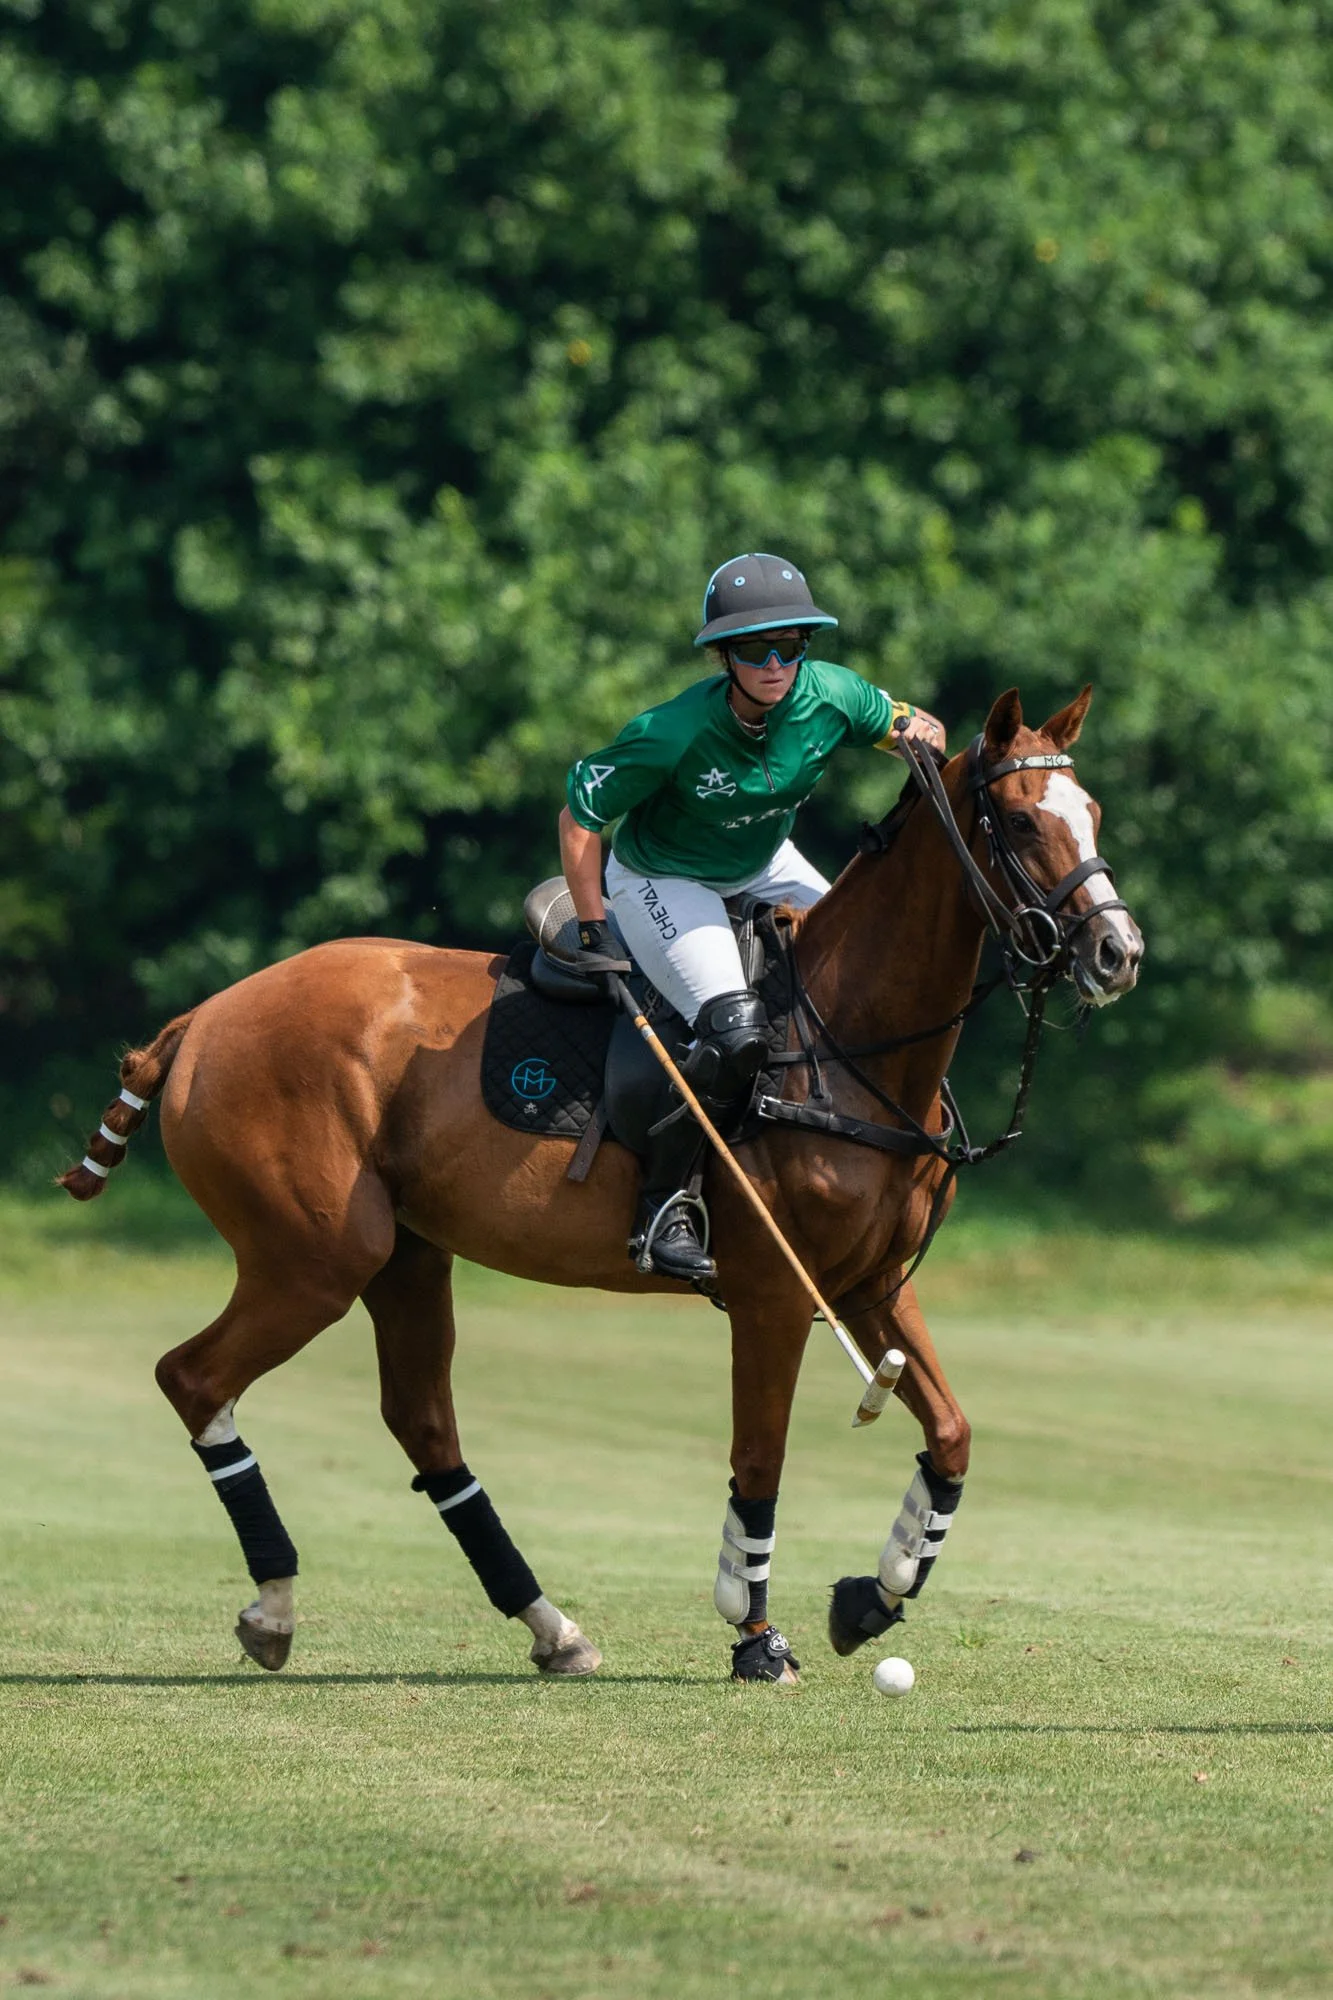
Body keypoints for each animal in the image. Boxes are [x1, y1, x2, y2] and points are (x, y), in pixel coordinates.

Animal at [59, 686, 1142, 1683]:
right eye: (1017, 821)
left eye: (1090, 809)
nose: (1116, 952)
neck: (844, 1032)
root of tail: (200, 1020)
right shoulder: (774, 1292)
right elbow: (760, 1460)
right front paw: (757, 1637)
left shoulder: (869, 1287)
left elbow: (952, 1433)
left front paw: (871, 1598)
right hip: (312, 1256)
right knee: (196, 1377)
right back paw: (275, 1605)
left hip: (405, 1254)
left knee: (423, 1423)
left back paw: (552, 1627)